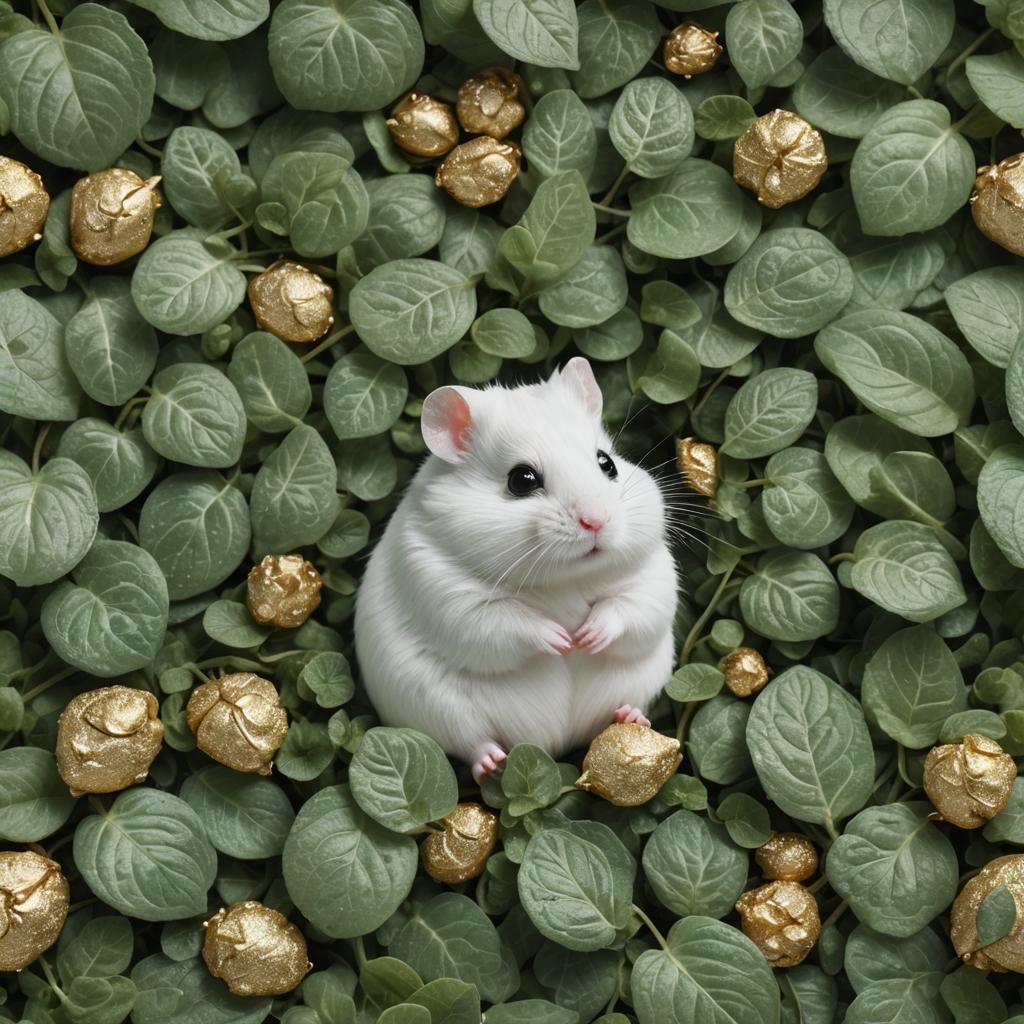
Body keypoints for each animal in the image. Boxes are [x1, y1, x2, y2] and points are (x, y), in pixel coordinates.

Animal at [353, 357, 678, 783]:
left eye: (607, 464)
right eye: (521, 480)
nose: (596, 521)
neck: (566, 580)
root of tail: (554, 743)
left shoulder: (652, 576)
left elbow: (628, 609)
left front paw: (585, 637)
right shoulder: (449, 598)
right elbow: (512, 623)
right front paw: (563, 641)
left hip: (642, 680)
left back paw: (631, 717)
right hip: (433, 706)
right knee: (471, 741)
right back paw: (493, 761)